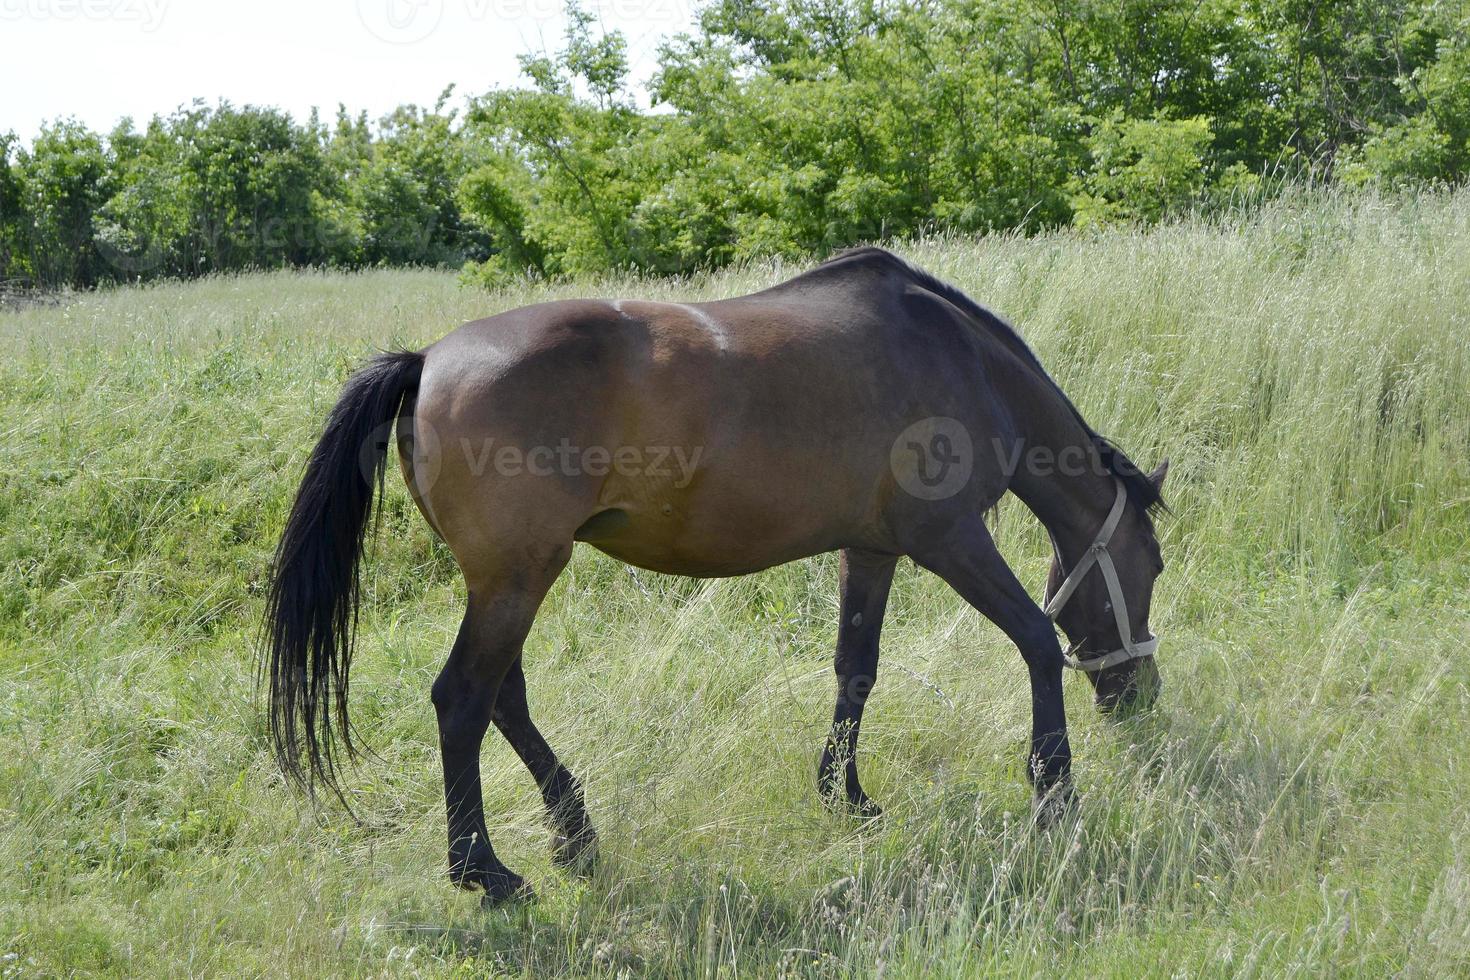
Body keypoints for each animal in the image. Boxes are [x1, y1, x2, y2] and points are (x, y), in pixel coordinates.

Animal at [261, 245, 1158, 905]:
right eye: (1150, 565)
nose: (1139, 698)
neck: (959, 358)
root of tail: (428, 361)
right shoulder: (951, 539)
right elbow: (1037, 641)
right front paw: (1054, 793)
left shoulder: (871, 550)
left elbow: (856, 668)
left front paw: (846, 794)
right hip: (517, 580)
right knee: (462, 700)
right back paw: (485, 871)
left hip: (506, 583)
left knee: (502, 699)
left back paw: (574, 835)